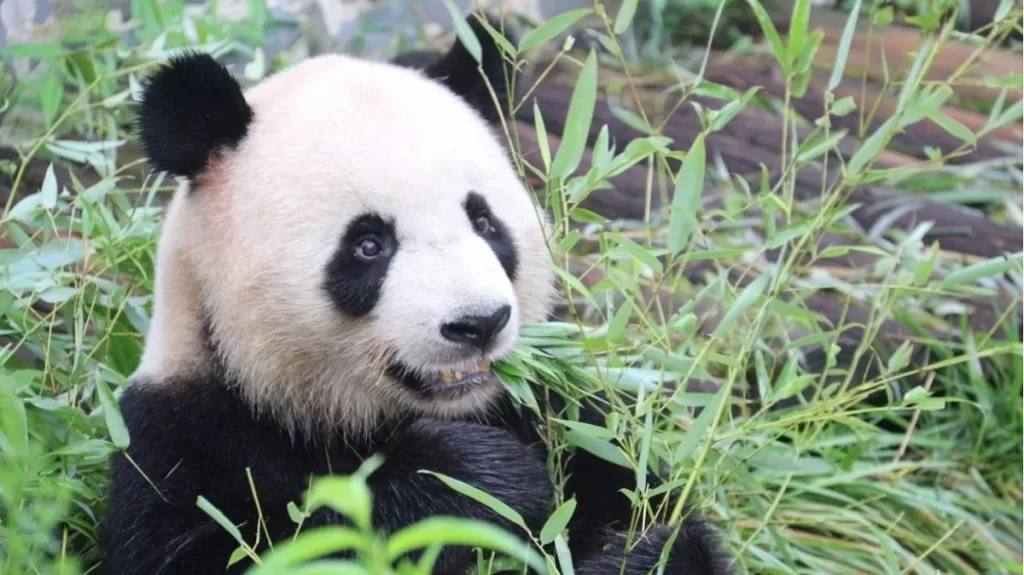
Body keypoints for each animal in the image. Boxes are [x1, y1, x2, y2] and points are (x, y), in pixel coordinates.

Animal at [101, 13, 734, 575]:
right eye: (368, 245)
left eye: (484, 221)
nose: (479, 323)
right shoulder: (184, 436)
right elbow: (239, 550)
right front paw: (477, 477)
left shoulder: (558, 406)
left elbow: (639, 496)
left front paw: (640, 552)